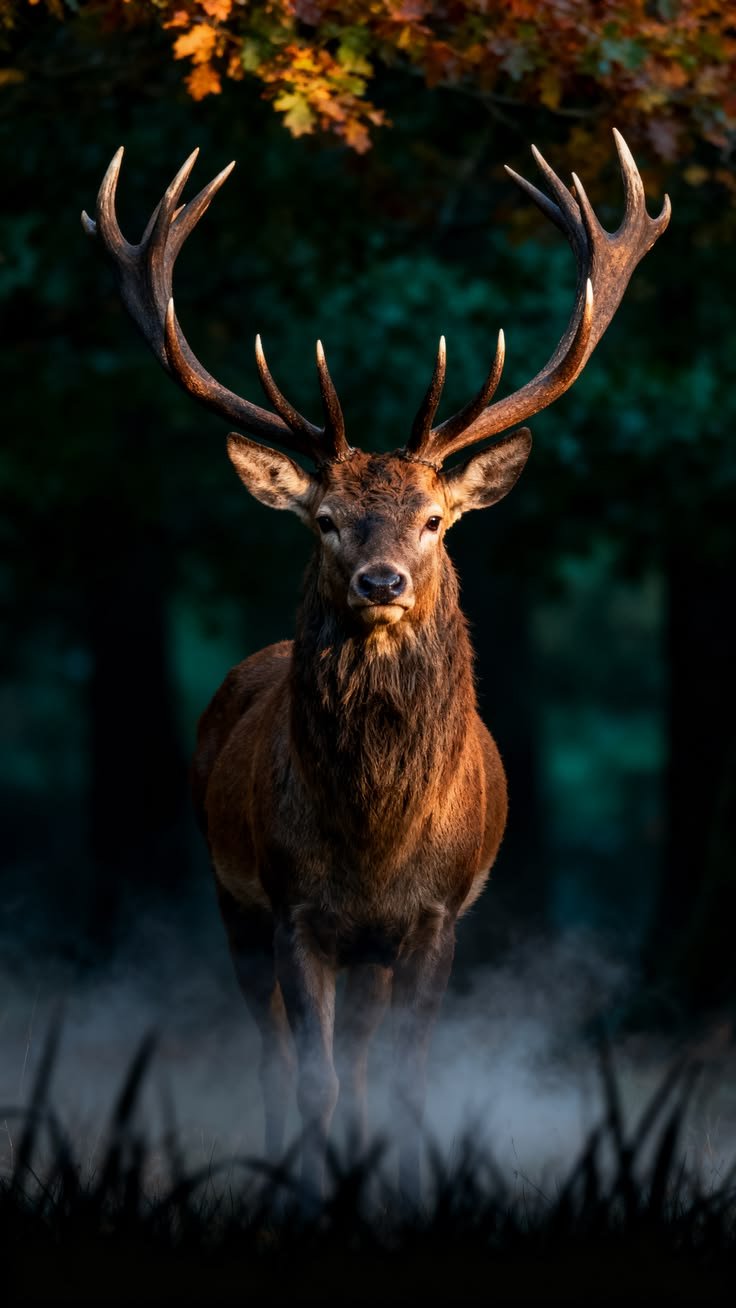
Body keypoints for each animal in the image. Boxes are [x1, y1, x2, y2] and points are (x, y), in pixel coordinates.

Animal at [83, 130, 669, 1196]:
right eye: (324, 519)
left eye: (434, 519)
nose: (382, 581)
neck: (376, 840)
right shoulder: (291, 908)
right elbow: (309, 1071)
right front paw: (318, 1188)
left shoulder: (435, 918)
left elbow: (402, 1071)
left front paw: (400, 1180)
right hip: (228, 896)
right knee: (277, 1055)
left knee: (358, 1055)